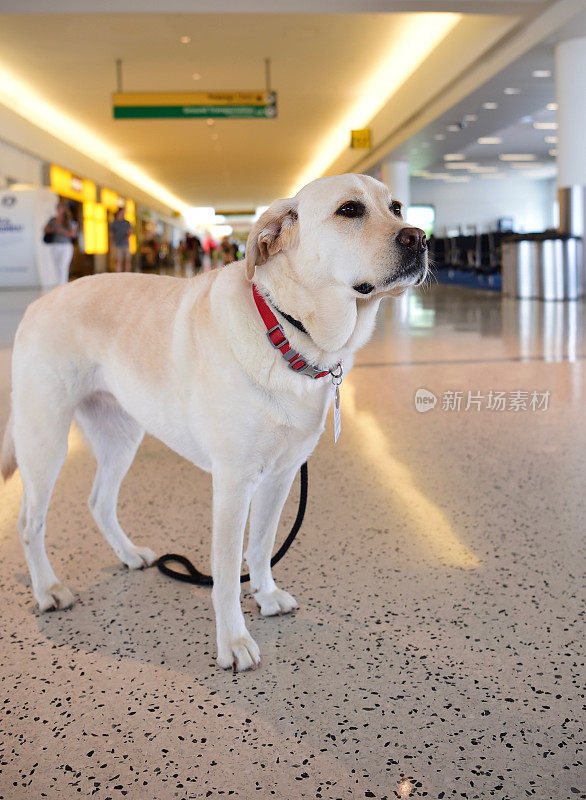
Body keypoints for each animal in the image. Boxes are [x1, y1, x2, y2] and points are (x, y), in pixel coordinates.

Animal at [2, 173, 426, 668]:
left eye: (396, 207)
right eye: (349, 210)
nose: (420, 237)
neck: (288, 332)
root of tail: (39, 302)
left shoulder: (280, 476)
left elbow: (260, 546)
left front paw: (266, 595)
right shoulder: (233, 484)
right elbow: (224, 572)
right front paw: (234, 640)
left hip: (121, 437)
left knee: (99, 502)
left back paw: (129, 554)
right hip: (45, 440)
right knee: (29, 523)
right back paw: (48, 589)